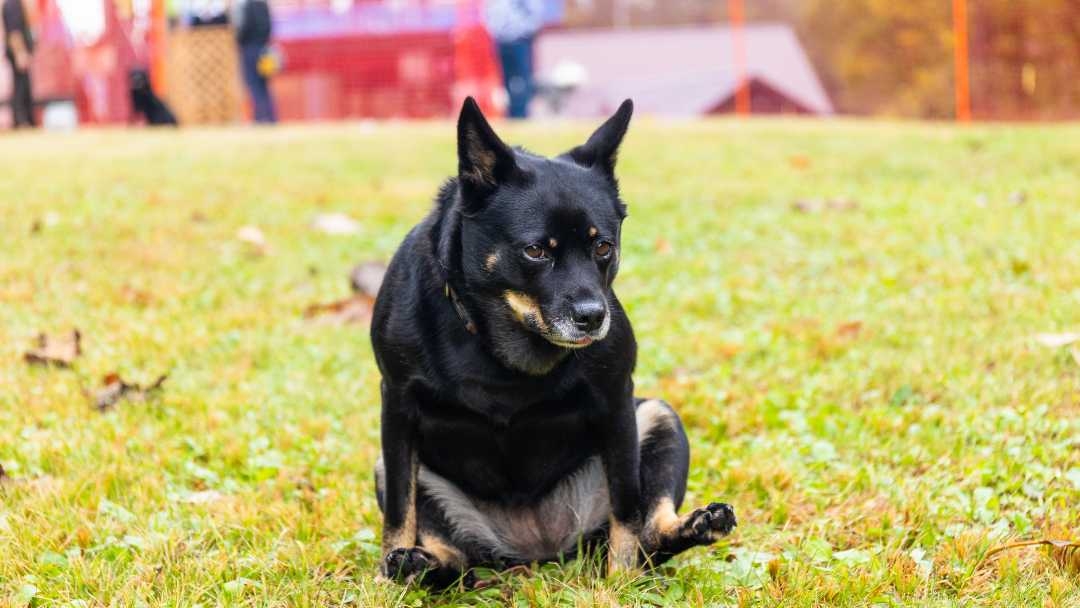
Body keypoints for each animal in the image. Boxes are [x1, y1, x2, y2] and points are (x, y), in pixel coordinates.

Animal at [371, 97, 734, 587]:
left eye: (603, 247)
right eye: (536, 250)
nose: (593, 316)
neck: (505, 338)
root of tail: (538, 550)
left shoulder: (617, 404)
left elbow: (627, 511)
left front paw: (619, 583)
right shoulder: (397, 407)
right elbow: (399, 513)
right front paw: (385, 578)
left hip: (659, 418)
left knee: (650, 532)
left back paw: (697, 525)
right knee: (456, 559)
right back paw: (419, 565)